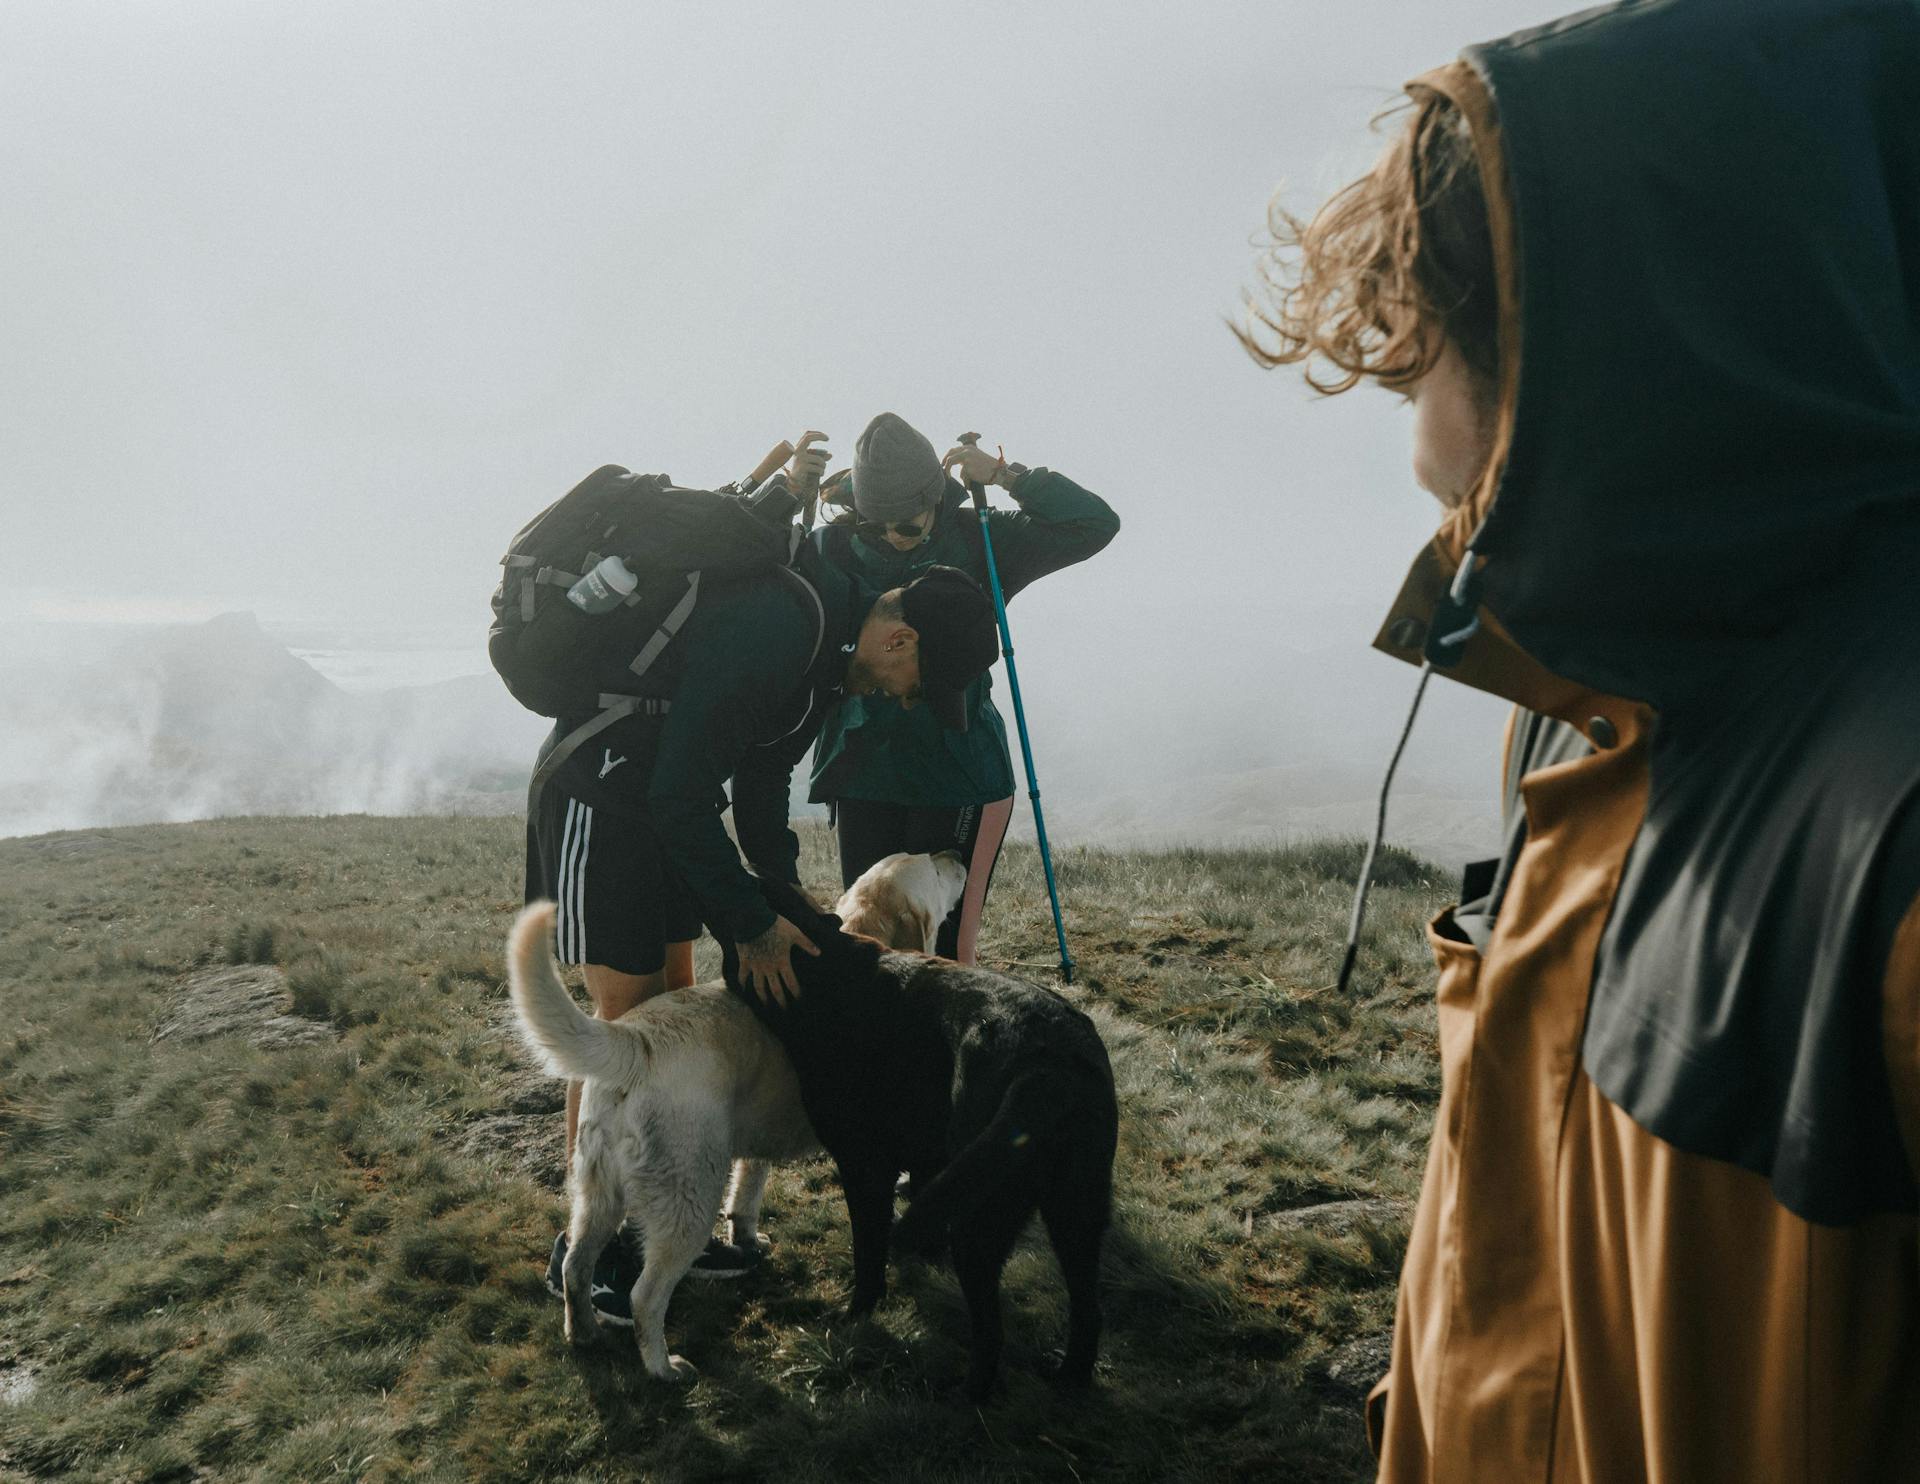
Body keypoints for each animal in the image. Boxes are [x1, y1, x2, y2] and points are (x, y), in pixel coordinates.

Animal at [506, 852, 967, 1382]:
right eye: (932, 867)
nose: (958, 855)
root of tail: (635, 1042)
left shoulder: (758, 1139)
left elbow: (747, 1193)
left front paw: (747, 1238)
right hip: (689, 1196)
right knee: (646, 1296)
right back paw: (665, 1369)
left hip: (598, 1193)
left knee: (576, 1266)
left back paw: (583, 1333)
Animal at [721, 879, 1121, 1397]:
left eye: (759, 891)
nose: (744, 874)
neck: (826, 967)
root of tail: (1047, 1067)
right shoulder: (929, 1162)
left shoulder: (863, 1167)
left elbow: (869, 1252)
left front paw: (856, 1316)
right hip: (1076, 1213)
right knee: (1088, 1312)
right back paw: (1068, 1378)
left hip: (979, 1221)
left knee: (991, 1330)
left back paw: (966, 1395)